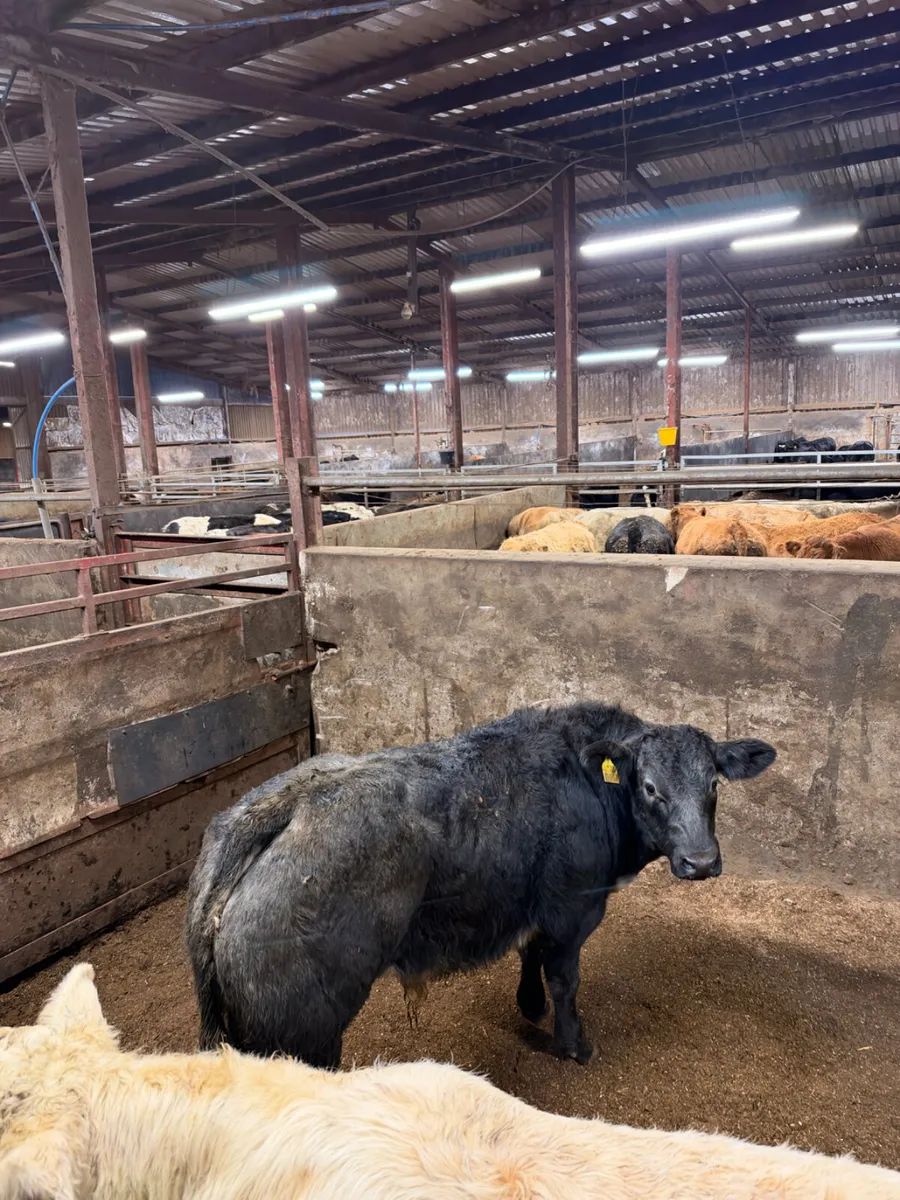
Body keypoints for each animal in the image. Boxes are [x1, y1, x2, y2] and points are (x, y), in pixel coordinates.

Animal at [186, 702, 776, 1068]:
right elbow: (566, 981)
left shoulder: (531, 903)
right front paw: (574, 1043)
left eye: (713, 783)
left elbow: (530, 955)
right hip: (302, 1031)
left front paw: (529, 1005)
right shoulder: (572, 911)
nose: (701, 861)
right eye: (650, 787)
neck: (589, 783)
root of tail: (286, 804)